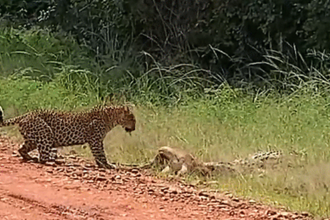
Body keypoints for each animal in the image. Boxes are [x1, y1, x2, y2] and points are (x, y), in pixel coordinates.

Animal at [0, 105, 135, 168]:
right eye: (132, 119)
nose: (134, 128)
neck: (111, 119)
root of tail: (25, 115)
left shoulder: (96, 141)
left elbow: (99, 154)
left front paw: (102, 164)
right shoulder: (95, 140)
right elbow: (100, 153)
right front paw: (107, 165)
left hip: (33, 138)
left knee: (21, 149)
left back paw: (31, 157)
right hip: (45, 134)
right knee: (42, 158)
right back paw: (53, 161)